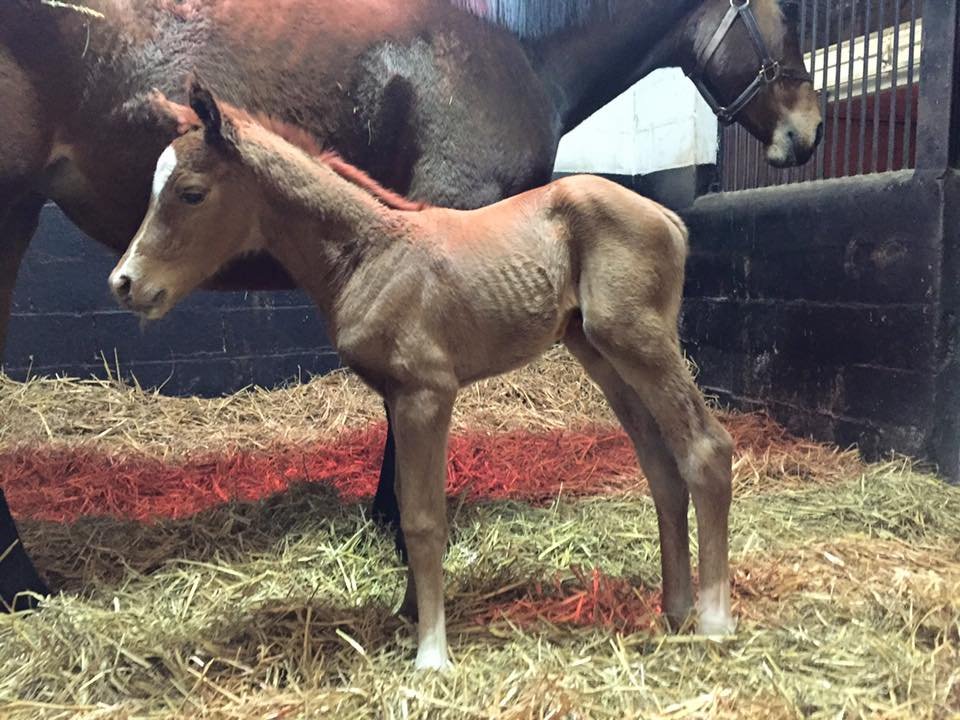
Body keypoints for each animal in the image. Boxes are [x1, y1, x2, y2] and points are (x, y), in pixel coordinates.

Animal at [0, 0, 820, 610]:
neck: (523, 55)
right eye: (789, 16)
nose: (807, 133)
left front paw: (386, 523)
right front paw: (400, 532)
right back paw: (24, 588)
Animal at [108, 82, 736, 670]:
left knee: (706, 448)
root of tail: (669, 217)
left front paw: (431, 651)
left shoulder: (425, 393)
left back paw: (713, 618)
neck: (369, 254)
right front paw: (409, 611)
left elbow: (424, 517)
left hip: (638, 341)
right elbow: (403, 501)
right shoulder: (394, 396)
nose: (124, 283)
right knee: (661, 463)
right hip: (601, 353)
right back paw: (674, 608)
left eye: (191, 193)